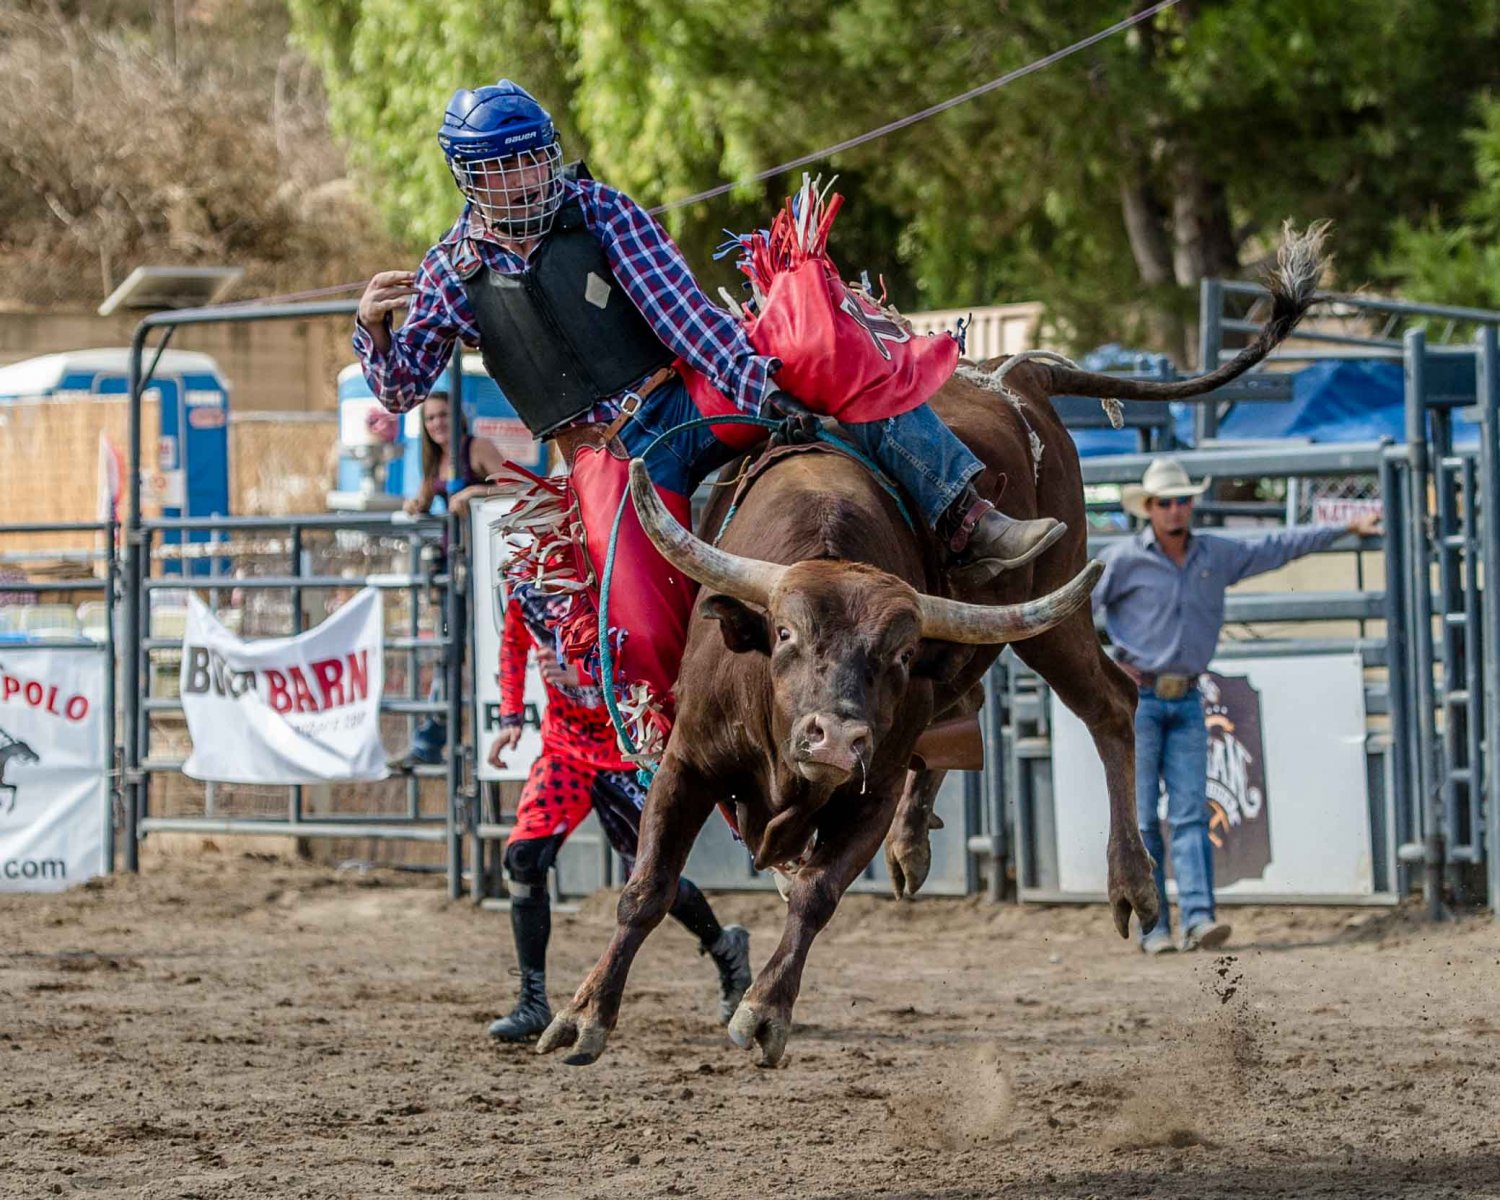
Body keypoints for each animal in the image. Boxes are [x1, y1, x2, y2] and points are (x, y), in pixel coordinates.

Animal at [537, 223, 1328, 1068]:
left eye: (894, 656)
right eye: (784, 635)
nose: (836, 736)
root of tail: (1017, 373)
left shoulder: (873, 781)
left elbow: (818, 892)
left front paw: (766, 1009)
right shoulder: (687, 759)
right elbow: (647, 888)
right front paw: (584, 1013)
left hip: (1053, 613)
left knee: (1112, 703)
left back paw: (1132, 883)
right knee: (973, 702)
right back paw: (917, 846)